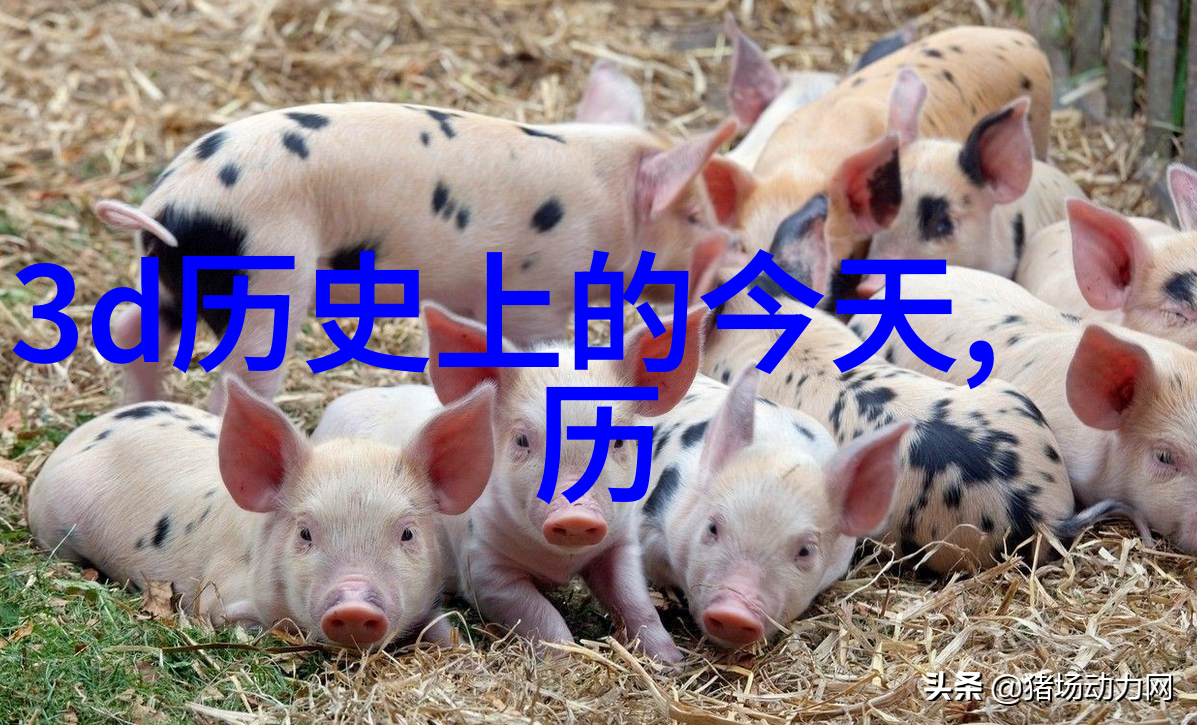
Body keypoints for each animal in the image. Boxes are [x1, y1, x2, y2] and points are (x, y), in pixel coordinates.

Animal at [27, 377, 495, 648]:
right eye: (305, 533)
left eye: (407, 534)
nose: (354, 605)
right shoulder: (218, 598)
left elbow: (443, 627)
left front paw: (457, 646)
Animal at [94, 100, 743, 411]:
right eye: (692, 216)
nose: (725, 270)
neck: (605, 201)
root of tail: (172, 203)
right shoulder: (540, 289)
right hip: (265, 277)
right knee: (235, 376)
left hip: (169, 277)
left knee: (131, 327)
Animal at [376, 301, 711, 663]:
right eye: (522, 440)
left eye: (619, 440)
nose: (576, 515)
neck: (560, 564)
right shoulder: (482, 569)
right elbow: (540, 613)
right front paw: (565, 659)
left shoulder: (621, 543)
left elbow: (634, 600)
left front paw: (671, 662)